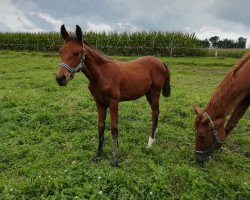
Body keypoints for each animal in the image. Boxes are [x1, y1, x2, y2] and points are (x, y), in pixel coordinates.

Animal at [55, 25, 171, 167]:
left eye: (76, 53)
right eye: (60, 51)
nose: (60, 78)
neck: (102, 74)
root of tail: (160, 61)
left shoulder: (114, 102)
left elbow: (114, 128)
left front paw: (115, 159)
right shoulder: (99, 103)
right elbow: (100, 126)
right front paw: (97, 154)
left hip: (154, 93)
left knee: (154, 112)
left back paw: (150, 142)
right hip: (148, 93)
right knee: (156, 112)